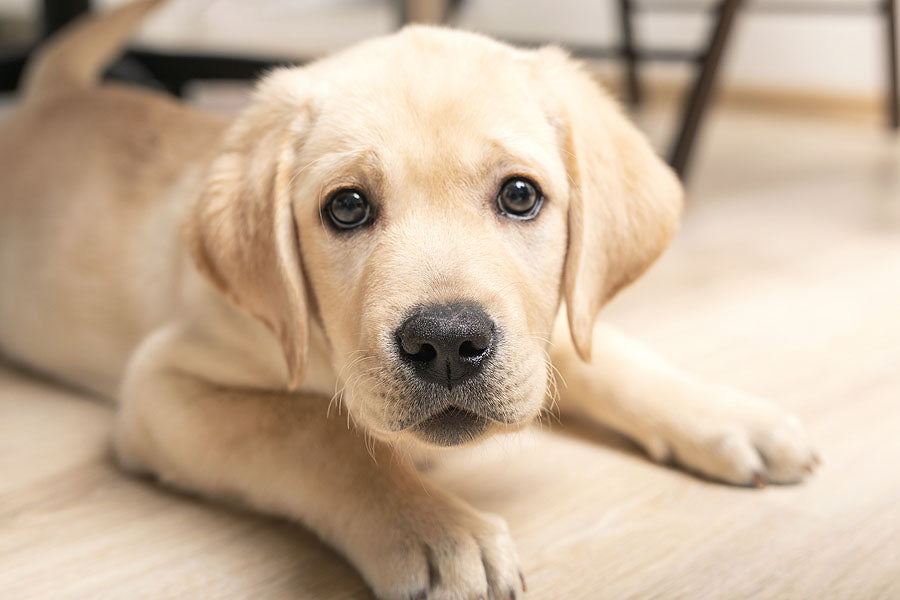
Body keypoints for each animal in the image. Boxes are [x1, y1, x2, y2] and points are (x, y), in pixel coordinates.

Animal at [0, 2, 816, 596]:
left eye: (521, 195)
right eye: (347, 207)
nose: (448, 342)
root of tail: (55, 93)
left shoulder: (540, 325)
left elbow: (606, 353)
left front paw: (731, 416)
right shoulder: (162, 385)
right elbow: (315, 433)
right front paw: (435, 533)